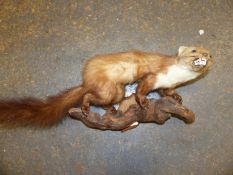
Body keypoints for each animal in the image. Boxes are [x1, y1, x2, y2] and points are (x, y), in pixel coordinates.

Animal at [0, 45, 211, 126]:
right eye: (193, 50)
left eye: (208, 53)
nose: (205, 55)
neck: (177, 76)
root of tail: (87, 80)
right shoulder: (153, 76)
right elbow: (141, 89)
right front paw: (143, 102)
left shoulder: (164, 85)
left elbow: (166, 93)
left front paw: (177, 97)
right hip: (109, 88)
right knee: (89, 96)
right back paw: (85, 108)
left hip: (117, 91)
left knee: (103, 101)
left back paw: (111, 110)